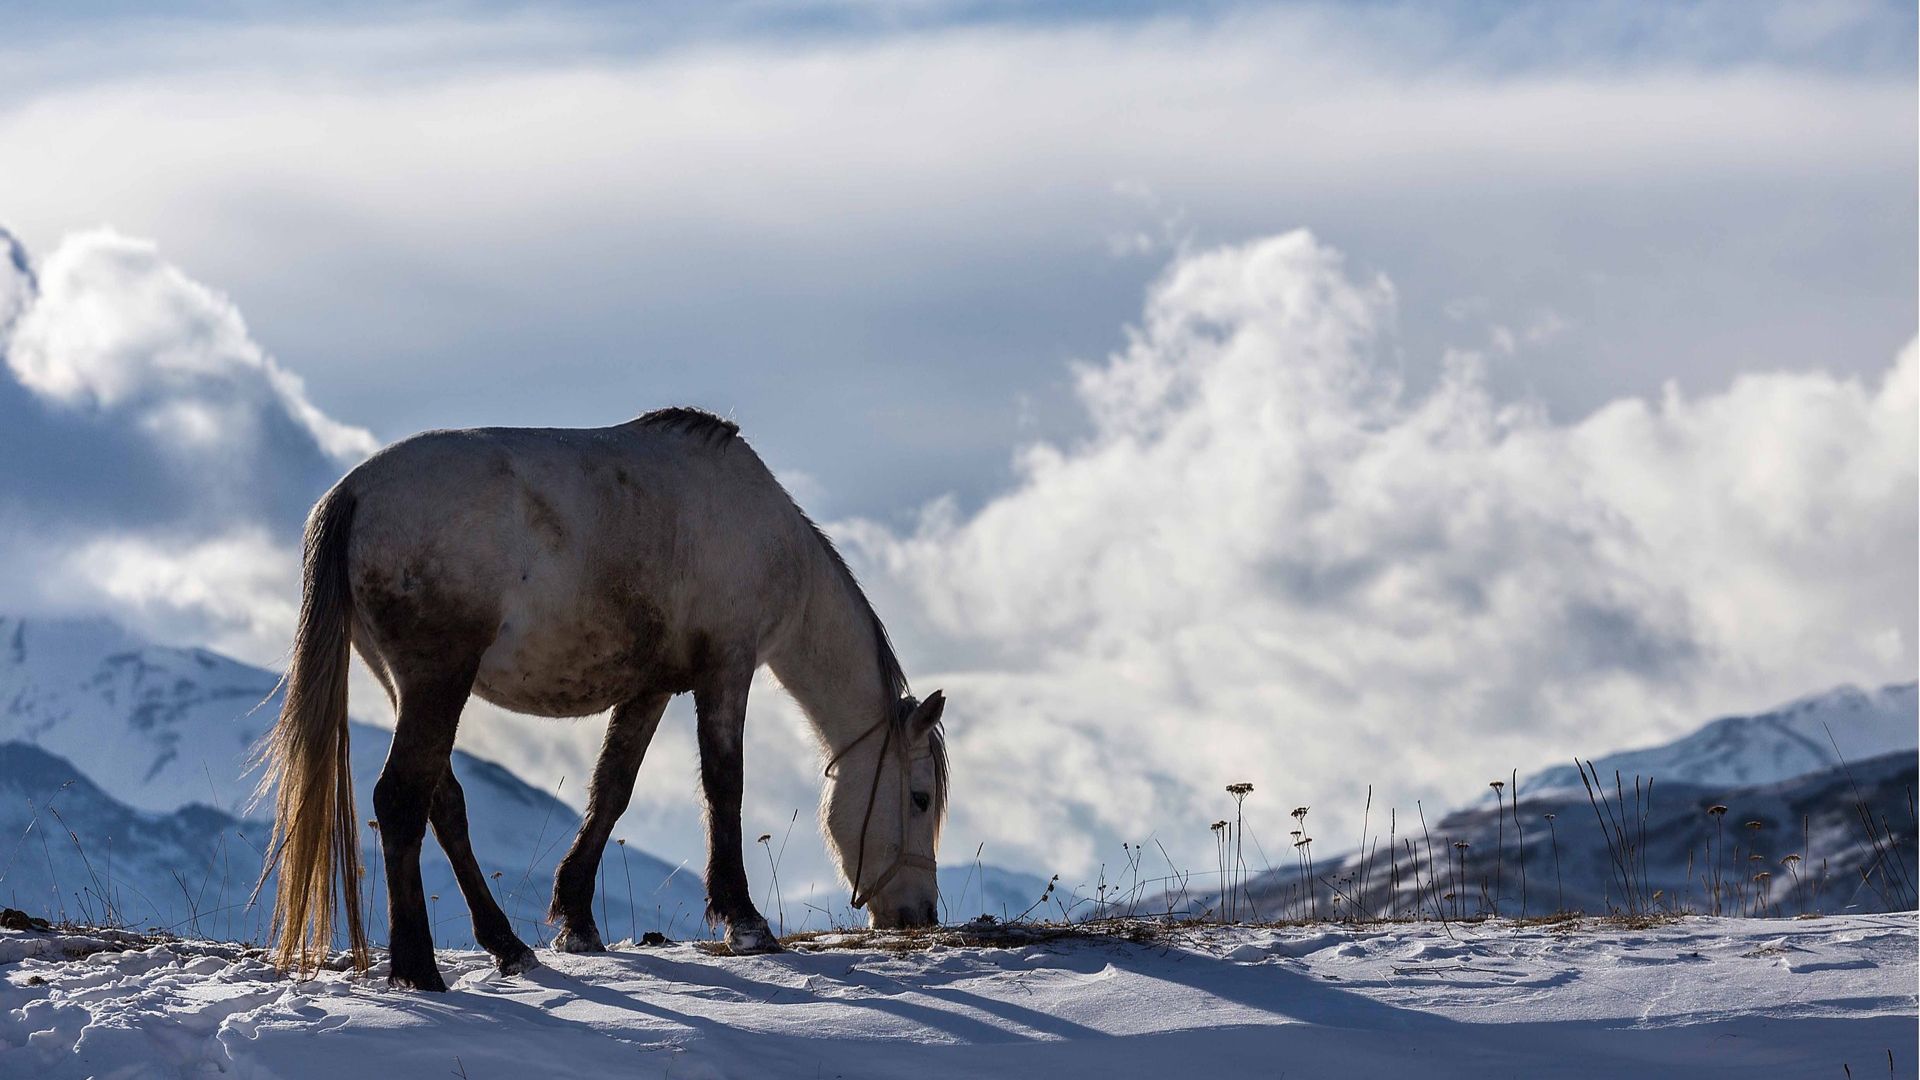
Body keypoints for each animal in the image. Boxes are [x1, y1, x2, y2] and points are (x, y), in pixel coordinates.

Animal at [255, 407, 944, 991]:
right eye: (920, 798)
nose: (918, 914)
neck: (766, 533)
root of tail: (353, 492)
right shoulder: (727, 669)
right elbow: (725, 785)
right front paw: (745, 921)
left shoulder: (652, 688)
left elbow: (613, 789)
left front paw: (577, 919)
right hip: (436, 683)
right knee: (401, 800)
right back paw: (419, 968)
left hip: (411, 688)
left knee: (441, 804)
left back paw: (507, 946)